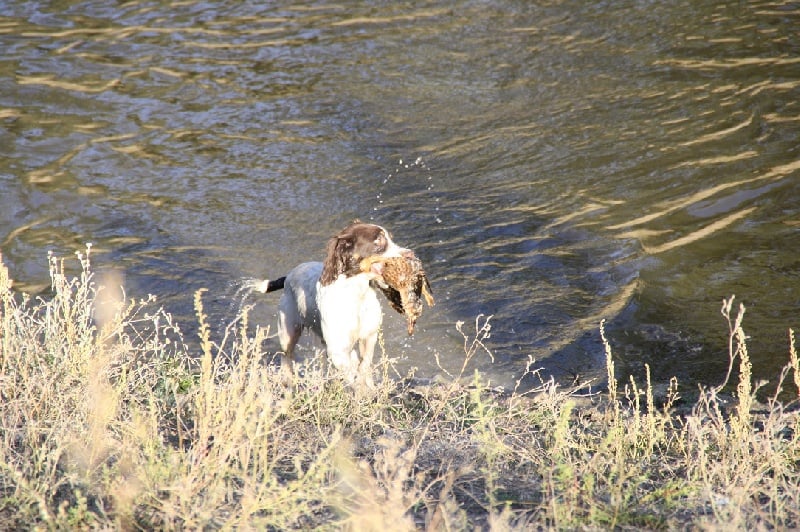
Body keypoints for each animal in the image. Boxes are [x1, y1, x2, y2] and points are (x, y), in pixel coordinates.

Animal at [258, 220, 410, 386]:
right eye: (378, 241)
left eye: (391, 238)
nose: (409, 254)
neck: (356, 295)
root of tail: (288, 276)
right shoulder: (337, 351)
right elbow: (352, 376)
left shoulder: (368, 336)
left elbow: (363, 366)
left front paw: (367, 387)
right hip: (288, 332)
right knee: (286, 356)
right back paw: (288, 383)